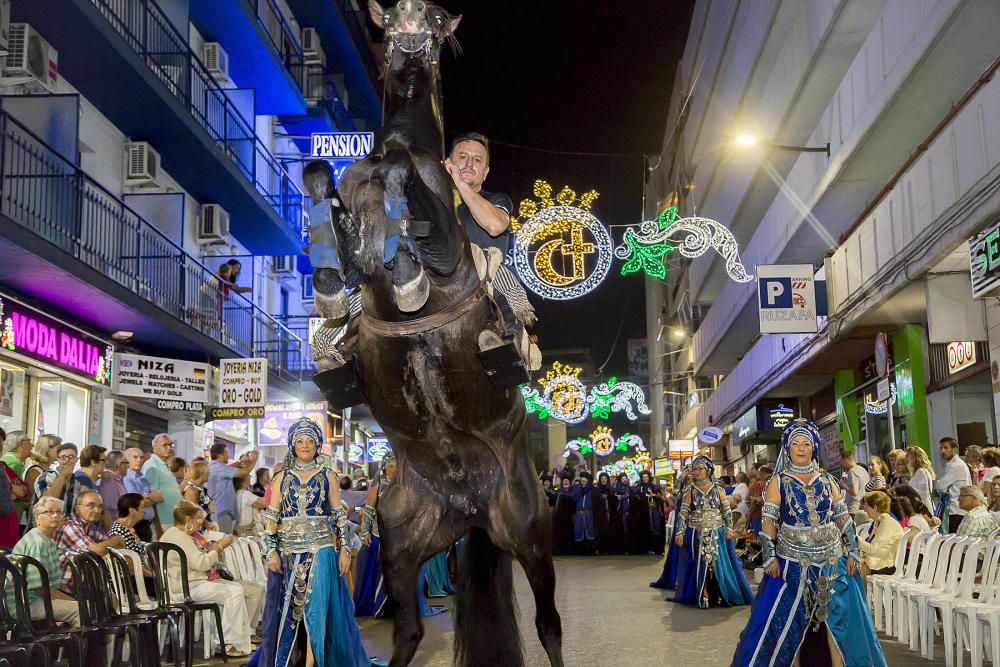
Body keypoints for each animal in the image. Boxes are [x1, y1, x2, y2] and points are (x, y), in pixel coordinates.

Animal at [312, 1, 564, 667]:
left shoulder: (447, 244)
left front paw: (406, 269)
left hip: (530, 533)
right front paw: (336, 275)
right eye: (396, 15)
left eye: (431, 20)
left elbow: (420, 204)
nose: (405, 31)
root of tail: (470, 508)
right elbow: (327, 189)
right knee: (408, 632)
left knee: (549, 623)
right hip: (400, 541)